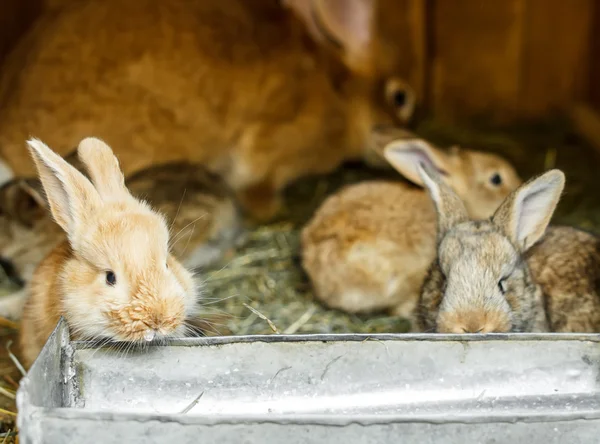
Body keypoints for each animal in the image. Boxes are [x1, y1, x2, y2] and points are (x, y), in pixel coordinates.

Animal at [0, 0, 420, 221]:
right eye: (401, 98)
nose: (406, 137)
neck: (338, 91)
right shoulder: (273, 149)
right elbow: (255, 185)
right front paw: (272, 210)